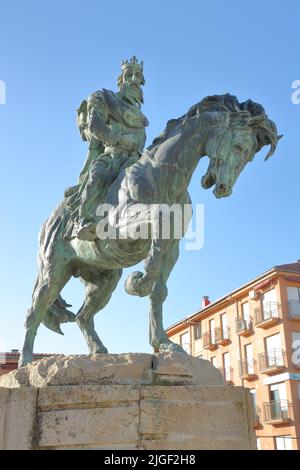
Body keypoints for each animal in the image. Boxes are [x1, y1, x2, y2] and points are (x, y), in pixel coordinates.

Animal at [19, 94, 282, 368]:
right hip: (53, 272)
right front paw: (138, 283)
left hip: (103, 280)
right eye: (238, 147)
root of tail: (48, 223)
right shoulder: (121, 226)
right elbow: (157, 224)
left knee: (82, 316)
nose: (223, 188)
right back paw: (25, 362)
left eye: (249, 156)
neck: (163, 174)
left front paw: (163, 342)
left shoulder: (172, 246)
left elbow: (159, 290)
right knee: (34, 312)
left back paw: (98, 350)